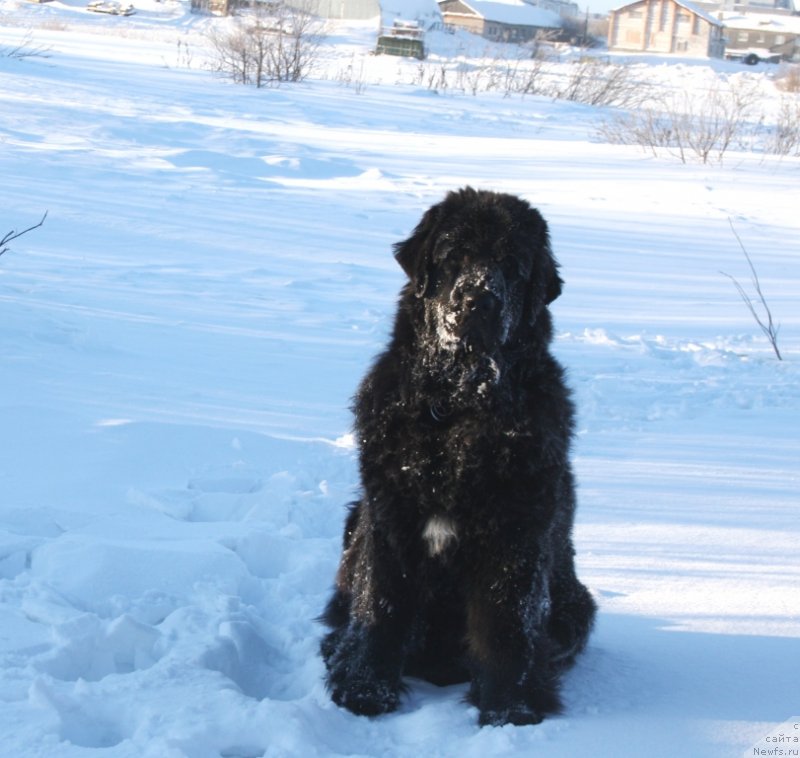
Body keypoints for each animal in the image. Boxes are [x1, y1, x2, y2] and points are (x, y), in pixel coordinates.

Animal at [318, 187, 592, 728]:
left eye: (511, 265)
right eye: (453, 257)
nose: (478, 299)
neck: (458, 403)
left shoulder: (515, 533)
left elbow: (506, 623)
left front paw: (510, 709)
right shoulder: (390, 519)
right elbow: (379, 606)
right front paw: (363, 690)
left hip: (575, 606)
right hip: (356, 518)